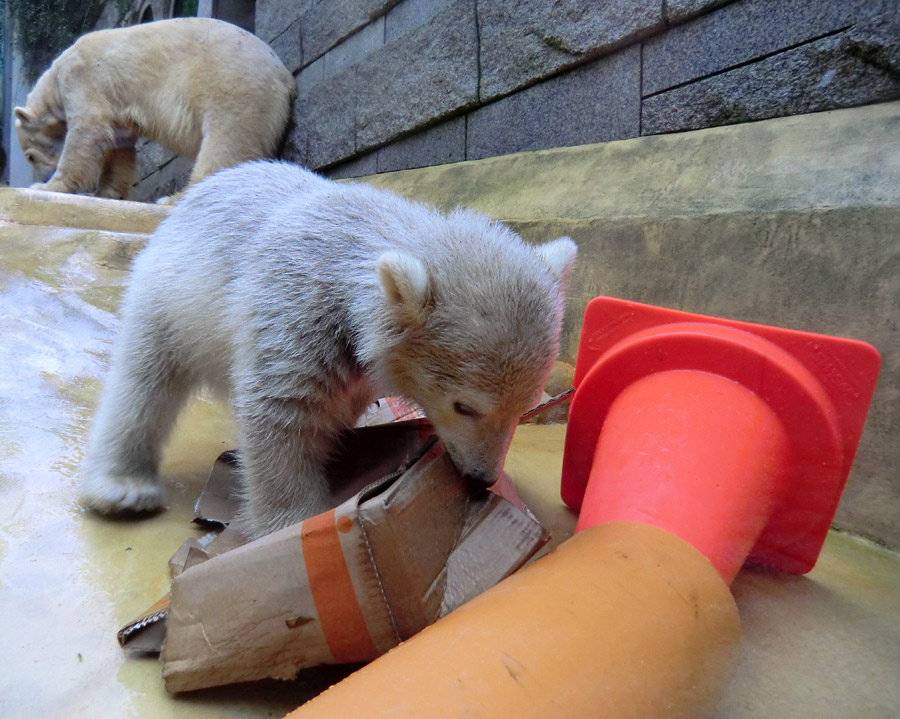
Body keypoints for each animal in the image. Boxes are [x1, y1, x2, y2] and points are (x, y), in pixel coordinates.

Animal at [13, 17, 296, 202]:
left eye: (29, 156)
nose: (43, 175)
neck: (54, 79)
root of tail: (284, 77)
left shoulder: (83, 78)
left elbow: (88, 130)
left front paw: (47, 186)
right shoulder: (116, 105)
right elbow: (119, 146)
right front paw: (106, 193)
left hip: (233, 85)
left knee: (225, 142)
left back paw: (174, 198)